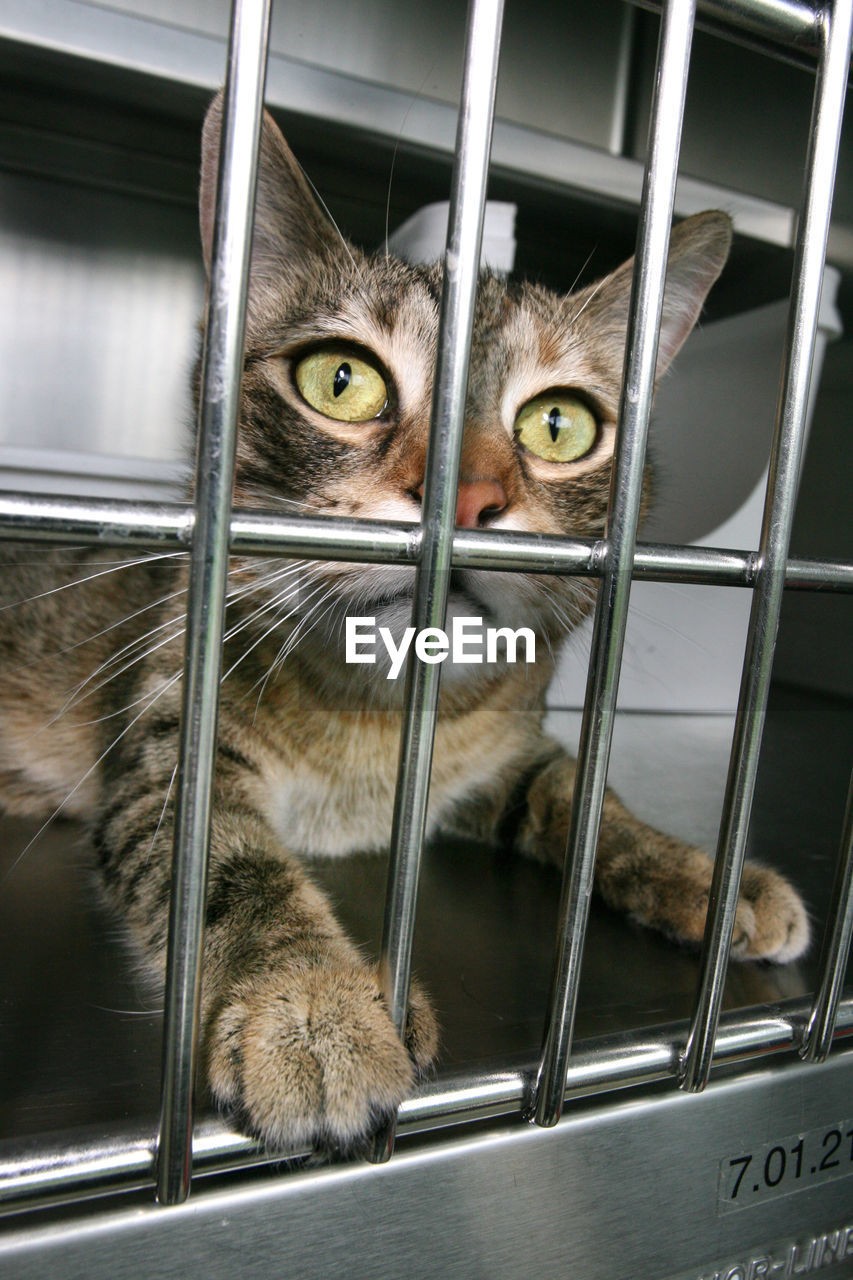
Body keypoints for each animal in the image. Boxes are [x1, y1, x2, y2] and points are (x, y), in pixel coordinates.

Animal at [0, 97, 809, 1152]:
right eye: (340, 380)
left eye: (558, 424)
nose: (465, 496)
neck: (377, 722)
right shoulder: (169, 750)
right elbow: (227, 865)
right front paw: (306, 1000)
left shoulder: (505, 754)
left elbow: (583, 797)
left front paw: (701, 874)